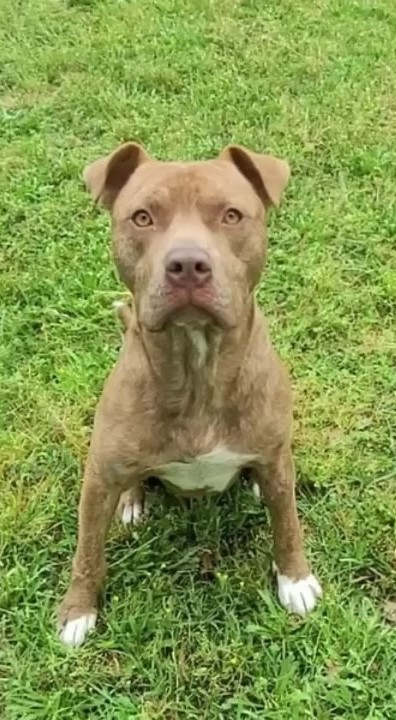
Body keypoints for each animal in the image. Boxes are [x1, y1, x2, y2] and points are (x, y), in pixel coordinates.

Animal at [57, 142, 322, 648]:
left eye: (232, 215)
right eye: (142, 217)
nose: (186, 265)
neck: (198, 370)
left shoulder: (278, 459)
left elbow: (288, 524)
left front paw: (295, 580)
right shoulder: (97, 478)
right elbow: (87, 551)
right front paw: (77, 612)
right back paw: (132, 501)